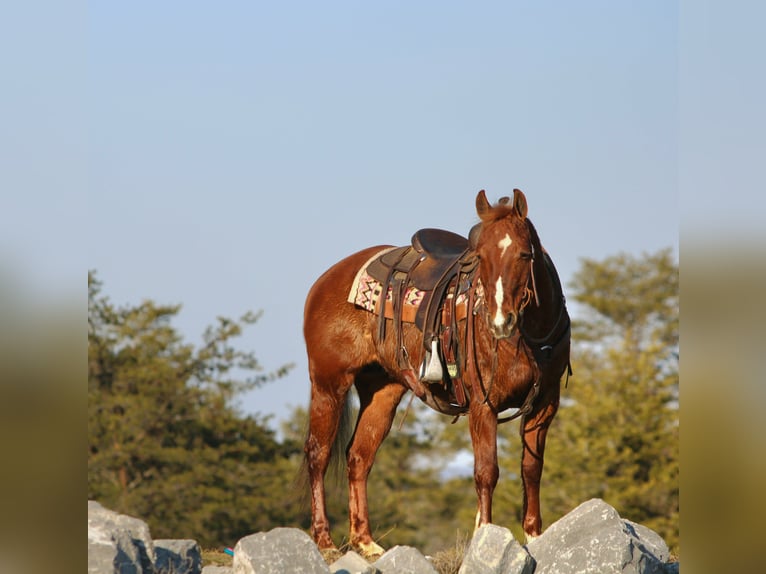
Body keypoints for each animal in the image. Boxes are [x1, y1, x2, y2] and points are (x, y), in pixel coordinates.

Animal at [302, 189, 571, 557]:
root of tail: (325, 281)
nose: (501, 321)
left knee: (358, 456)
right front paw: (484, 534)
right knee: (319, 455)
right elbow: (486, 471)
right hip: (329, 384)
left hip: (382, 391)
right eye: (481, 256)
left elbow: (531, 469)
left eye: (524, 253)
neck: (530, 336)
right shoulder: (483, 404)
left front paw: (533, 536)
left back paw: (366, 542)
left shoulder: (545, 404)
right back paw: (325, 541)